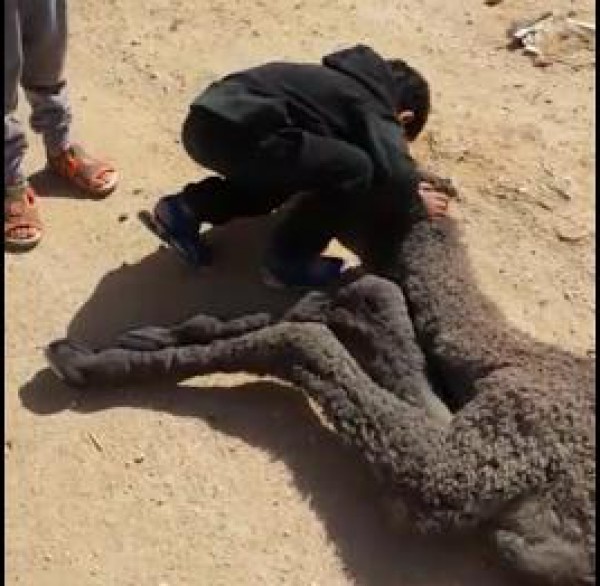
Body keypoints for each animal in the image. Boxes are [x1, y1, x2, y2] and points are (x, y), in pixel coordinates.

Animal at [45, 217, 595, 586]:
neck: (514, 358)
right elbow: (383, 306)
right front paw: (159, 336)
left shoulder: (475, 465)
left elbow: (304, 340)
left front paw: (96, 362)